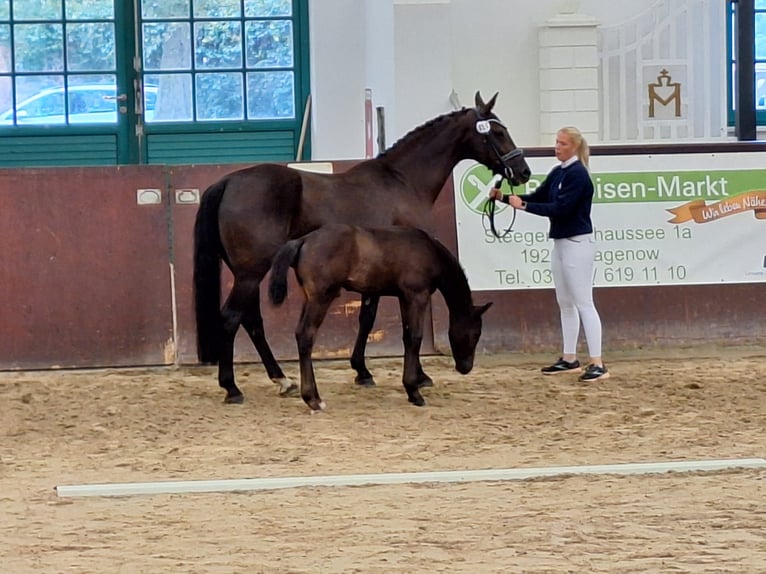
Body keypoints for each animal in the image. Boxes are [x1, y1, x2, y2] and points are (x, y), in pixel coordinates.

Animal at [268, 226, 488, 414]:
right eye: (476, 333)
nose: (465, 367)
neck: (429, 251)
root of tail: (302, 240)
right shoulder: (417, 296)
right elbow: (415, 337)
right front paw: (414, 391)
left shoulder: (403, 297)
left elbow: (407, 336)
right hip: (321, 298)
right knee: (306, 335)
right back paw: (313, 399)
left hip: (309, 298)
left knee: (300, 333)